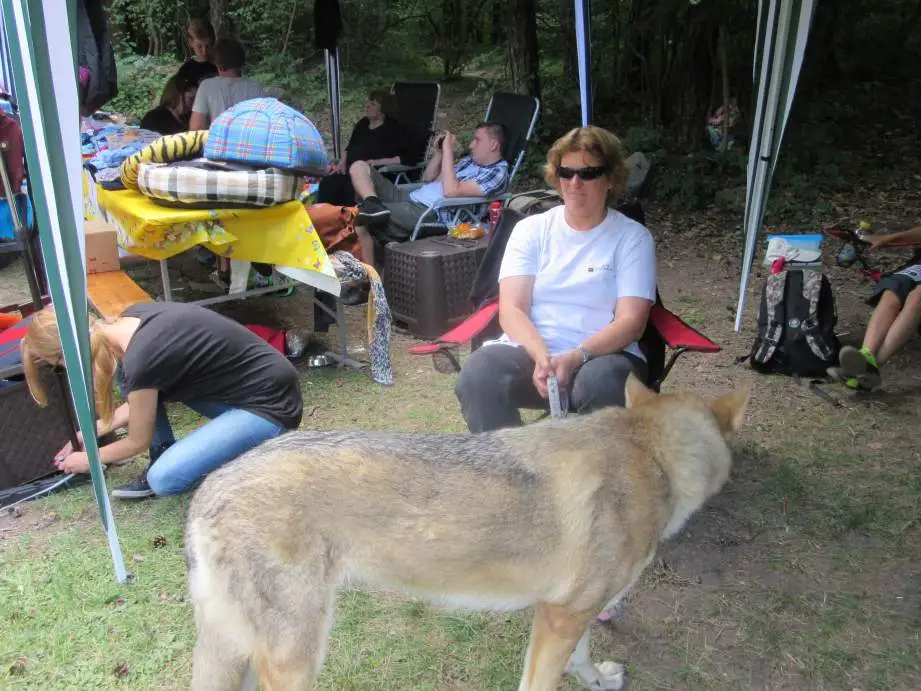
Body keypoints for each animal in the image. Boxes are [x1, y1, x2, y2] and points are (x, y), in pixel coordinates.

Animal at [186, 374, 750, 691]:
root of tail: (208, 488)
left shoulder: (573, 612)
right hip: (296, 658)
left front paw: (597, 682)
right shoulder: (559, 618)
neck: (653, 456)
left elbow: (583, 657)